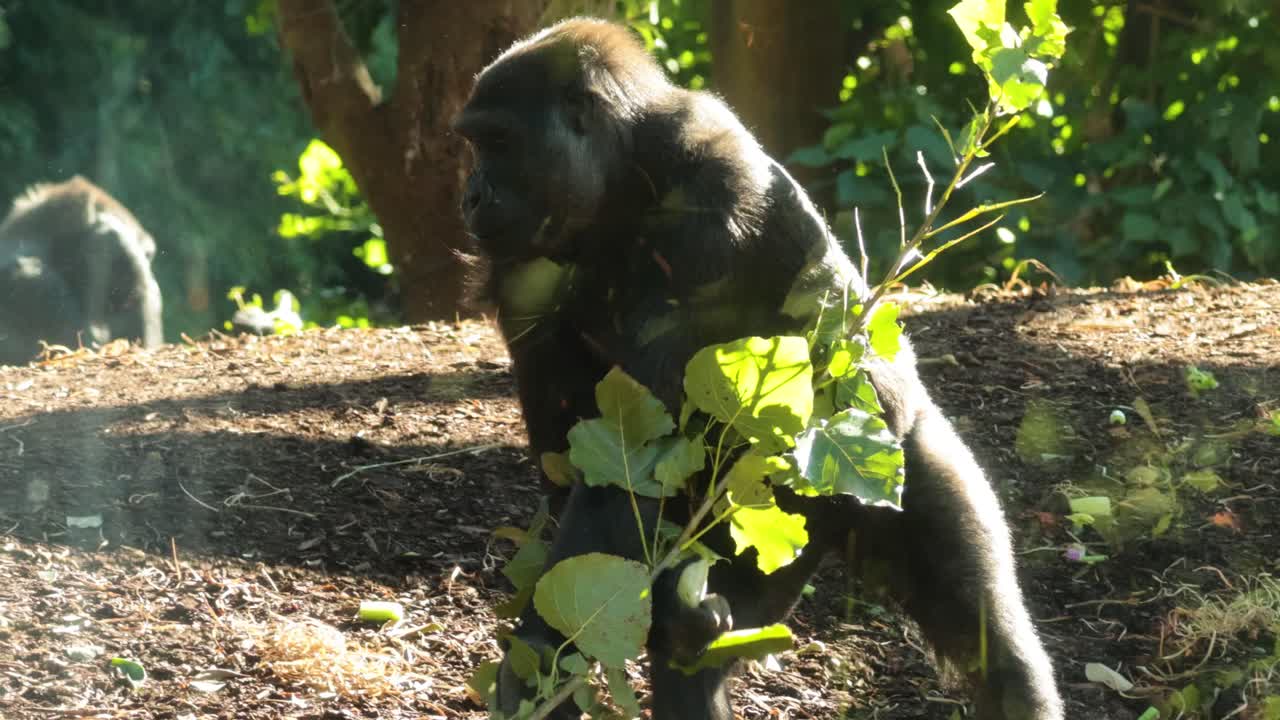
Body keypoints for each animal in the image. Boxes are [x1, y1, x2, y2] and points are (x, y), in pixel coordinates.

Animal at [454, 18, 1064, 720]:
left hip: (895, 457)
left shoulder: (712, 195)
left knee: (985, 632)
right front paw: (549, 653)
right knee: (697, 643)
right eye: (476, 144)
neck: (624, 176)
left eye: (499, 142)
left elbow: (639, 451)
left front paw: (540, 652)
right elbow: (586, 452)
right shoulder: (526, 265)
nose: (471, 196)